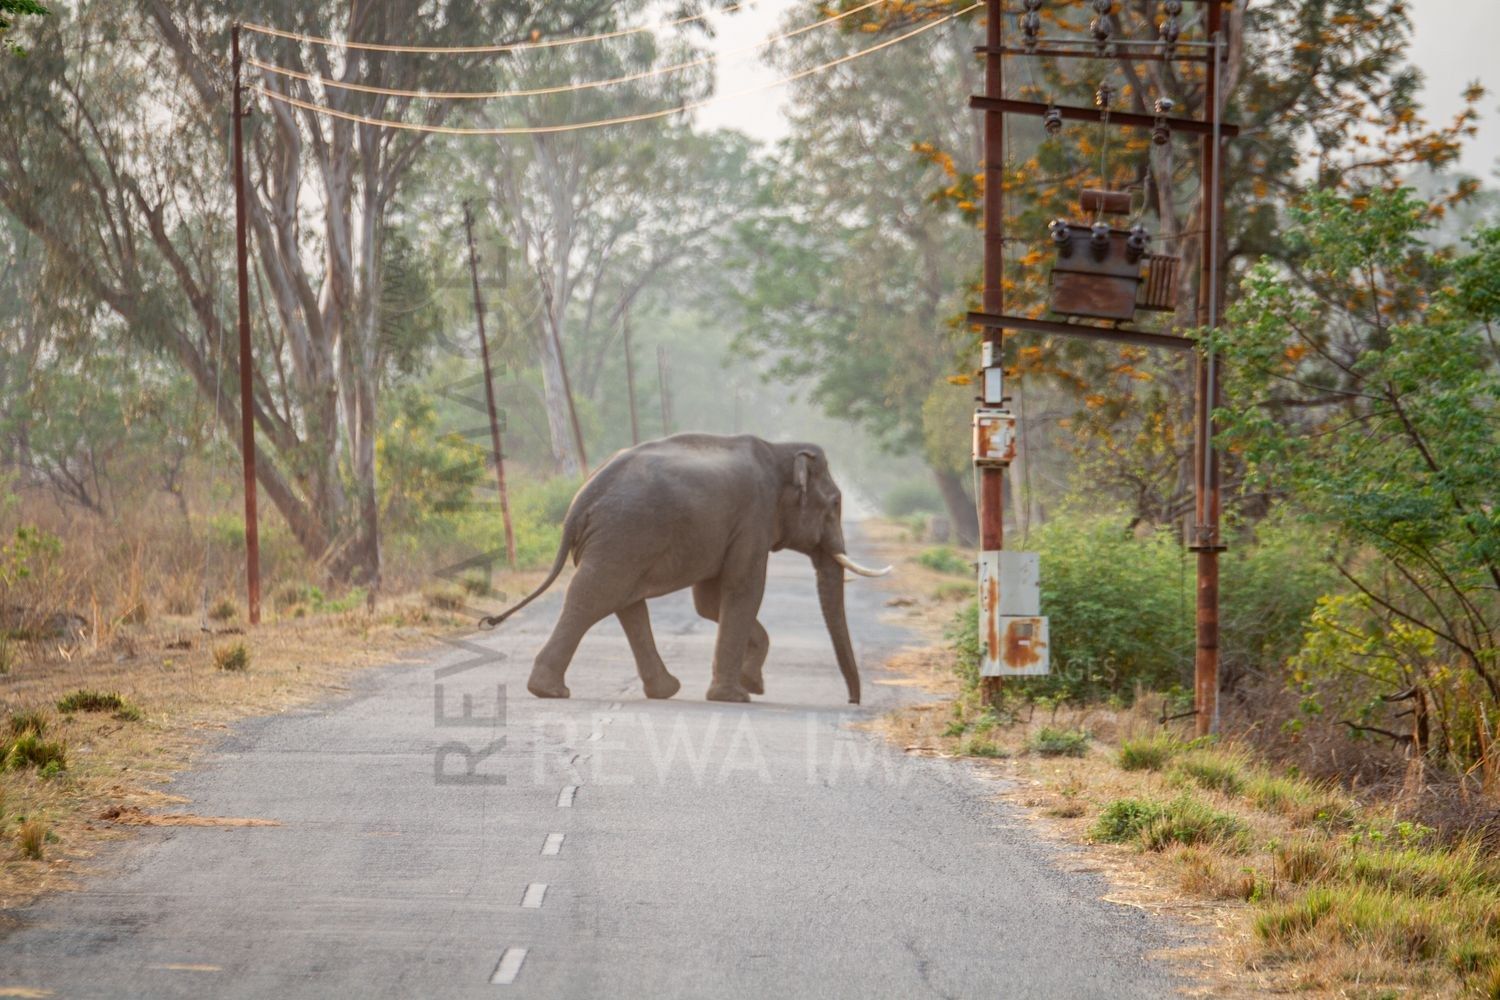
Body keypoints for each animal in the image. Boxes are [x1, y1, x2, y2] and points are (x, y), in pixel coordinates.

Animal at [478, 433, 891, 704]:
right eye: (834, 504)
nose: (852, 702)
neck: (781, 449)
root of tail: (580, 499)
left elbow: (708, 603)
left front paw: (752, 684)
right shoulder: (753, 517)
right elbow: (743, 590)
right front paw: (736, 696)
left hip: (620, 541)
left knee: (623, 601)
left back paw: (663, 690)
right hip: (624, 533)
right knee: (595, 596)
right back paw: (551, 691)